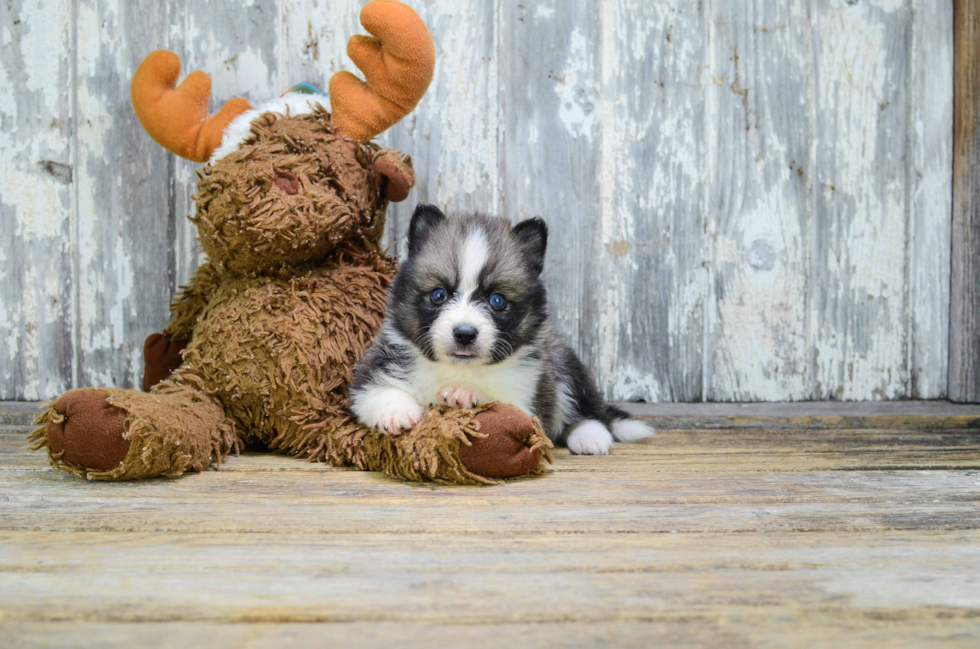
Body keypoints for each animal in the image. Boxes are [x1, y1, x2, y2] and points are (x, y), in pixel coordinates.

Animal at [348, 205, 656, 454]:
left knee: (587, 410)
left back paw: (590, 435)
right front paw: (394, 411)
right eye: (438, 294)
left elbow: (505, 402)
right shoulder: (377, 364)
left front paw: (466, 392)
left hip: (564, 364)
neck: (457, 369)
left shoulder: (529, 395)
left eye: (497, 300)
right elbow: (372, 390)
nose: (464, 334)